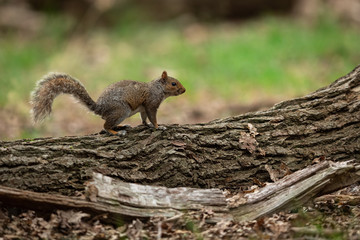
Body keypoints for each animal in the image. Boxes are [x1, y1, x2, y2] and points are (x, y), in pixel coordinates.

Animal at [30, 71, 186, 135]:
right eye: (173, 83)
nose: (184, 90)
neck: (158, 88)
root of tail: (100, 108)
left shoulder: (143, 108)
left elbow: (144, 119)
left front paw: (147, 125)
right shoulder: (151, 103)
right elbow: (153, 117)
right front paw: (159, 127)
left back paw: (121, 127)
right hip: (122, 110)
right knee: (105, 126)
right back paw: (116, 132)